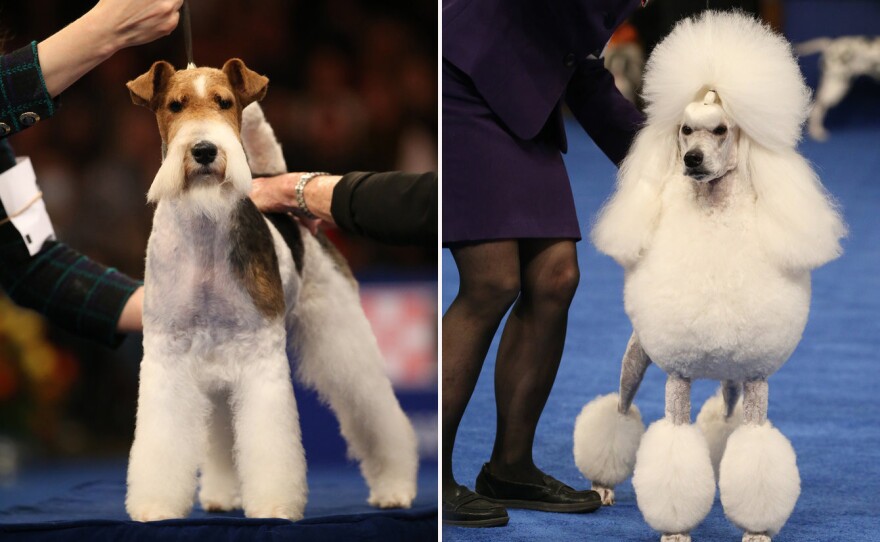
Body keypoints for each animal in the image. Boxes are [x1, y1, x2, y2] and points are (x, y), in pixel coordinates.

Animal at [123, 59, 420, 524]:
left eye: (225, 102)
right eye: (175, 105)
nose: (205, 150)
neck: (205, 231)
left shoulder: (259, 353)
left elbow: (269, 442)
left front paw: (274, 507)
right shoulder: (167, 353)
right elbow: (164, 440)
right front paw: (156, 507)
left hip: (340, 334)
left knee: (374, 412)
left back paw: (394, 488)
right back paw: (222, 495)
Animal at [572, 11, 844, 542]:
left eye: (720, 130)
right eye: (684, 131)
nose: (691, 161)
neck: (714, 216)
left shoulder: (756, 378)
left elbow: (755, 448)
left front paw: (756, 529)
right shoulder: (677, 374)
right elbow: (675, 447)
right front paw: (676, 528)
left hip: (733, 377)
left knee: (726, 415)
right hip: (637, 357)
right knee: (619, 409)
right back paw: (601, 482)